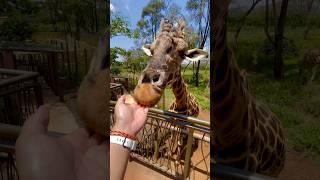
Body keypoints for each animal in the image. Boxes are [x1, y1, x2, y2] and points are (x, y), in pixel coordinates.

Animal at [132, 19, 208, 165]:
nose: (146, 86)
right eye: (151, 51)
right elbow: (174, 136)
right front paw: (172, 155)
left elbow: (180, 141)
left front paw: (177, 161)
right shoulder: (174, 122)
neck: (180, 105)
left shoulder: (184, 125)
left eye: (183, 53)